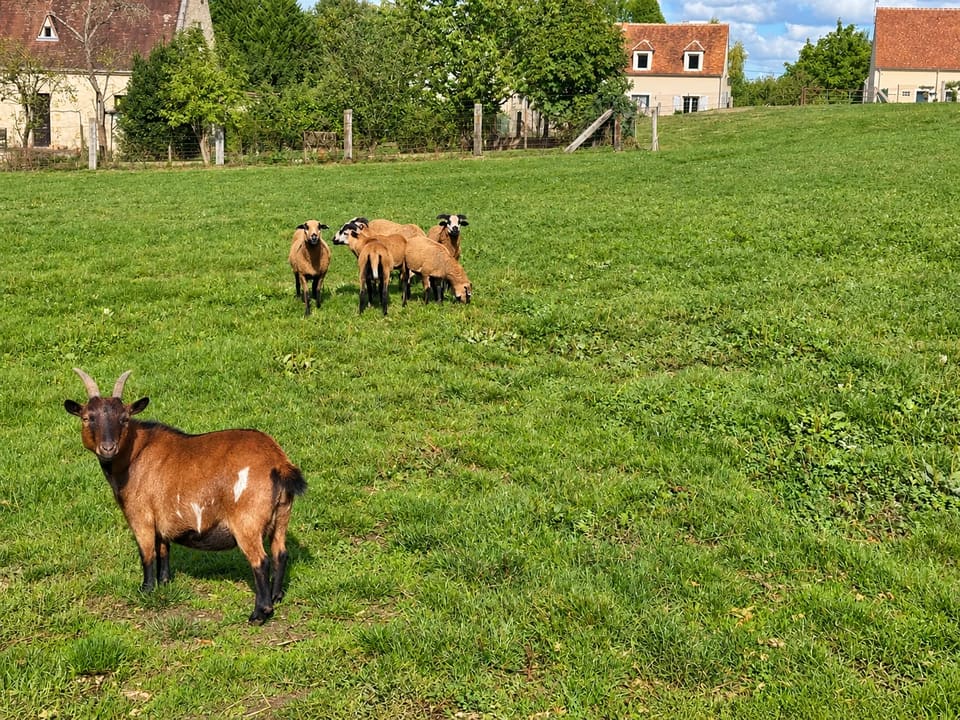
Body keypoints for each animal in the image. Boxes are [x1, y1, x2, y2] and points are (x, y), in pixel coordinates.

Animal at [64, 368, 306, 625]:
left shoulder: (141, 516)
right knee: (281, 553)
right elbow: (163, 550)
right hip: (282, 514)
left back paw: (260, 613)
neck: (135, 454)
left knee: (261, 561)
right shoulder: (162, 520)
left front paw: (146, 590)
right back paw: (277, 596)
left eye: (124, 418)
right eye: (87, 418)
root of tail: (278, 462)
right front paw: (165, 583)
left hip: (247, 521)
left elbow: (147, 554)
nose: (108, 448)